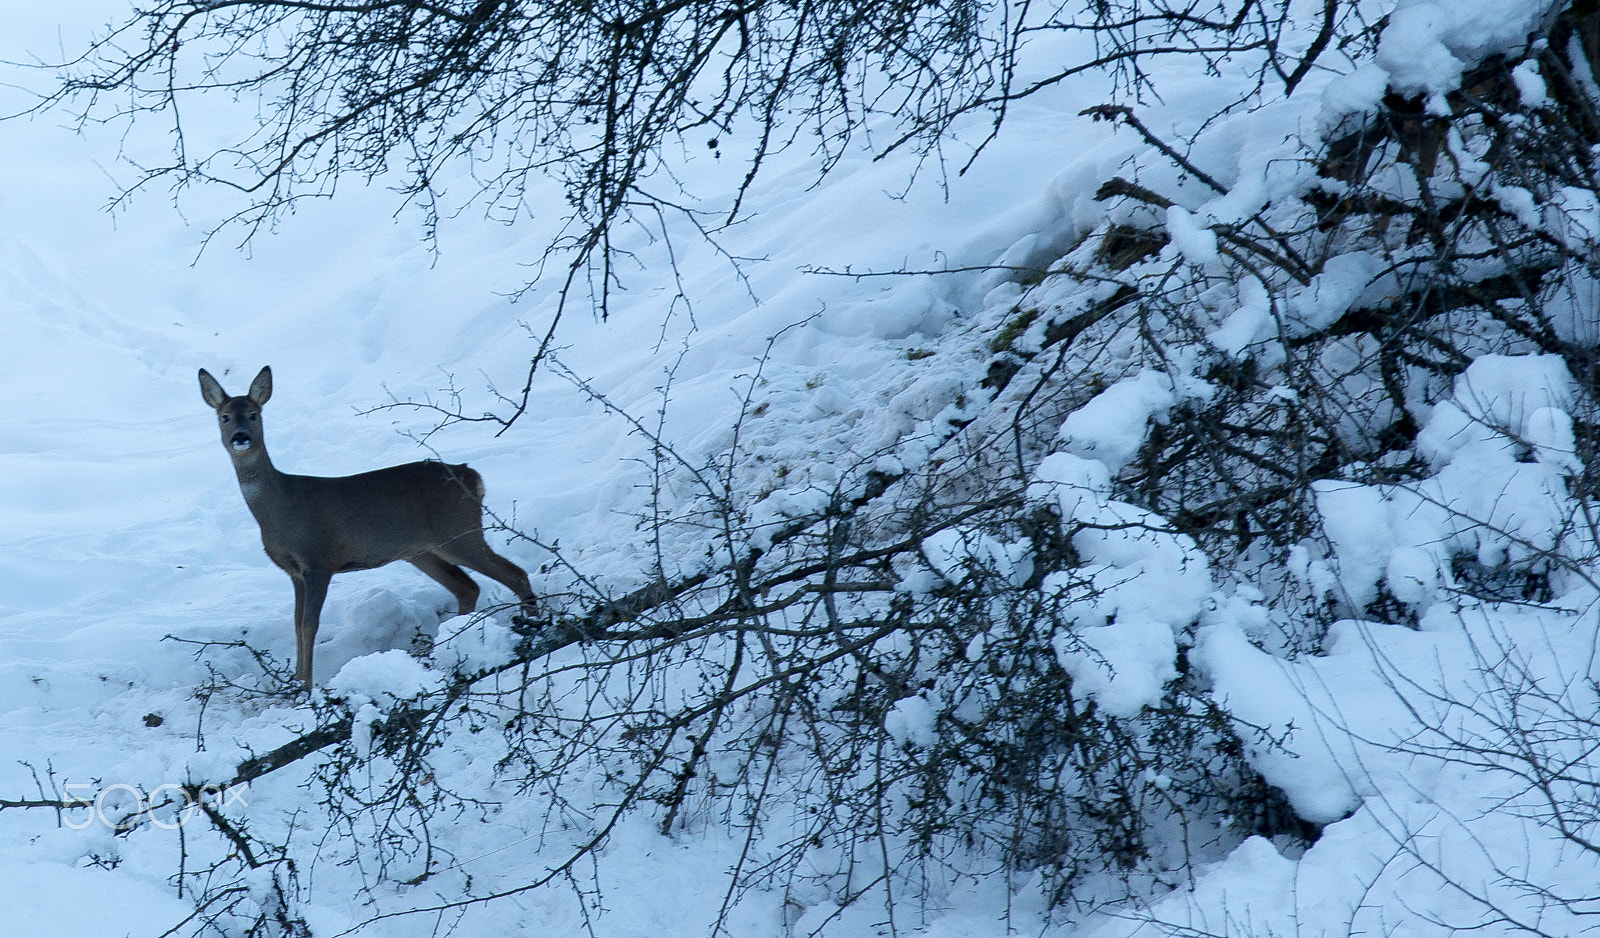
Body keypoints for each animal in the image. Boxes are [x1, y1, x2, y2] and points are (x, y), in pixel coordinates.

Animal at [198, 363, 537, 678]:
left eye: (254, 414)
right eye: (224, 417)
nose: (240, 437)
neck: (281, 507)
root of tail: (472, 476)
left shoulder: (319, 559)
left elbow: (310, 625)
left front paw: (305, 686)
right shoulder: (295, 572)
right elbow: (296, 625)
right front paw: (296, 682)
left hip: (459, 530)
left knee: (514, 573)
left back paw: (531, 628)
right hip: (422, 551)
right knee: (467, 587)